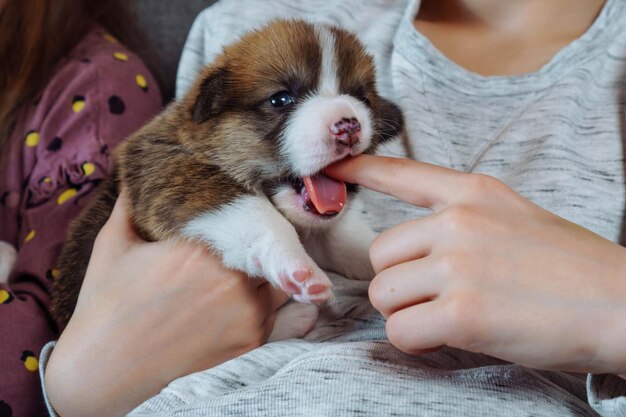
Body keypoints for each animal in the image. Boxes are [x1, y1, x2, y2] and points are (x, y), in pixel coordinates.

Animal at [52, 20, 404, 338]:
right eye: (281, 99)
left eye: (362, 99)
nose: (349, 126)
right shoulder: (174, 173)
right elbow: (255, 213)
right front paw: (296, 265)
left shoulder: (324, 229)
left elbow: (349, 240)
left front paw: (384, 257)